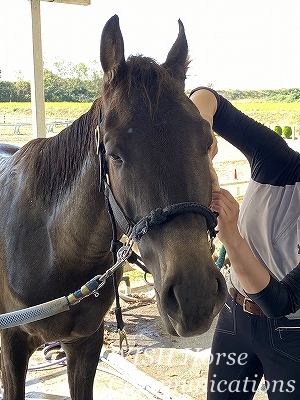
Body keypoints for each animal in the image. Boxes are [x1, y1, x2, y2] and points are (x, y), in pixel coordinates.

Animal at [0, 14, 226, 400]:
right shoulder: (11, 341)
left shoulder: (85, 343)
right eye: (115, 153)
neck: (52, 248)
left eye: (207, 140)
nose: (195, 298)